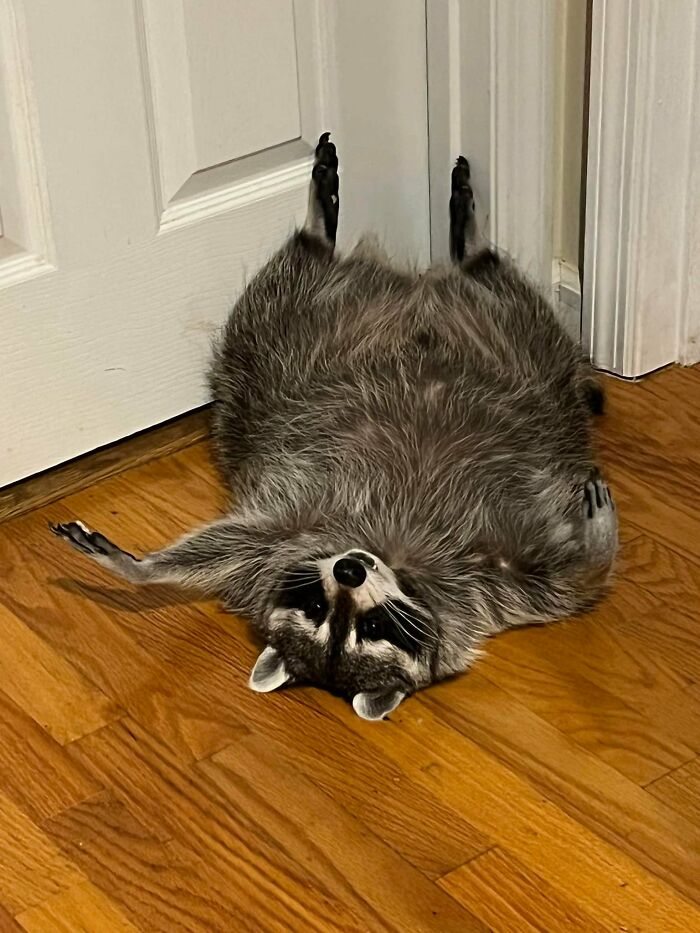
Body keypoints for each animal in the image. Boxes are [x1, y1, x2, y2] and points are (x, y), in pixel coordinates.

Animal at [52, 134, 618, 721]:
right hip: (276, 338)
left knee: (494, 287)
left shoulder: (493, 578)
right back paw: (338, 232)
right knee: (312, 277)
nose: (349, 570)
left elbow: (572, 583)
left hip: (509, 339)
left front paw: (598, 541)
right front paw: (141, 568)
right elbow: (228, 540)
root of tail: (413, 286)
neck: (388, 550)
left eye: (373, 627)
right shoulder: (285, 531)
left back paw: (443, 233)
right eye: (316, 607)